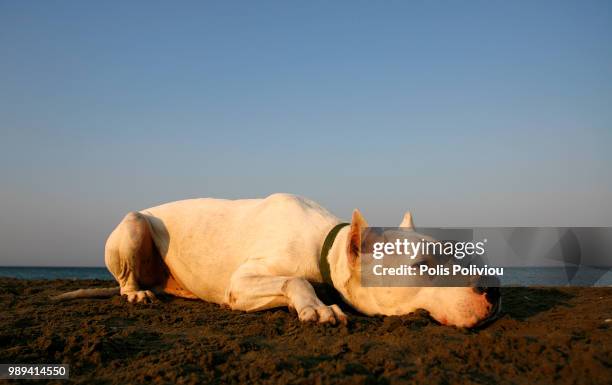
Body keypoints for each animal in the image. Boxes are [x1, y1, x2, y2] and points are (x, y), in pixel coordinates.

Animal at [55, 194, 500, 326]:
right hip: (133, 225)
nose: (494, 288)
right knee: (126, 282)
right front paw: (319, 309)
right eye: (423, 266)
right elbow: (295, 280)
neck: (326, 247)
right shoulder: (243, 282)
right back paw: (136, 294)